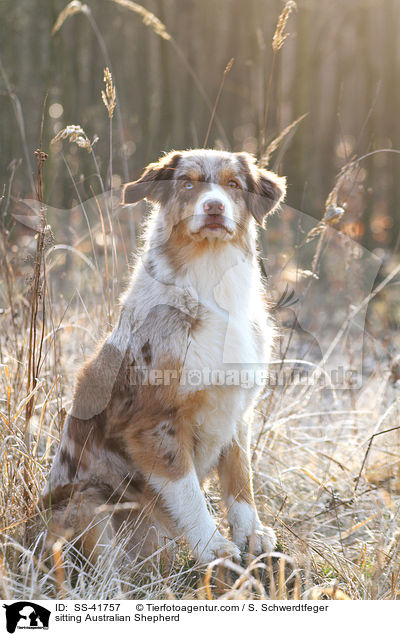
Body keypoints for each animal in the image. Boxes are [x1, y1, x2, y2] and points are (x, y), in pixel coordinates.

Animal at [42, 148, 286, 560]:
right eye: (187, 184)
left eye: (233, 184)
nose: (214, 206)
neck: (210, 280)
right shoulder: (154, 422)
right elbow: (187, 492)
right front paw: (213, 546)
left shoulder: (238, 411)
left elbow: (241, 477)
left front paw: (252, 533)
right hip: (86, 505)